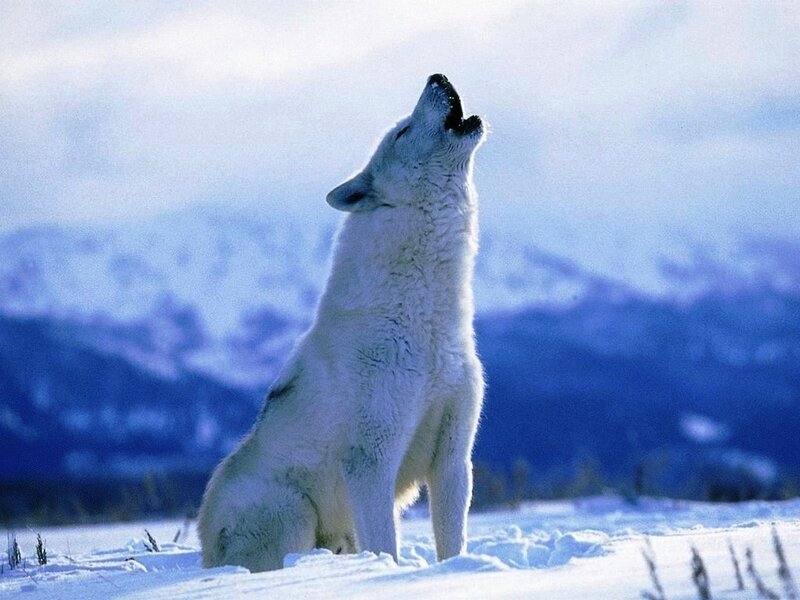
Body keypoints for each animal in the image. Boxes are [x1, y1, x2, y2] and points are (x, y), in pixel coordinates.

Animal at [198, 74, 486, 572]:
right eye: (403, 132)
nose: (438, 76)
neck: (425, 322)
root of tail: (204, 548)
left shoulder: (453, 457)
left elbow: (452, 542)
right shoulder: (371, 461)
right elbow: (386, 544)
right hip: (292, 512)